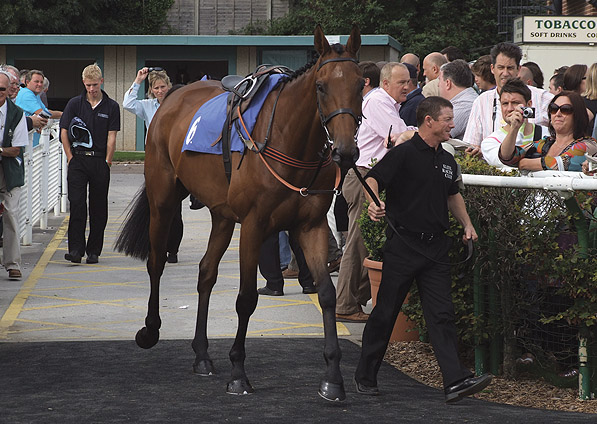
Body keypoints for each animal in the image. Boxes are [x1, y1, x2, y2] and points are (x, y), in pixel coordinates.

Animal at [114, 24, 360, 402]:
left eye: (360, 84)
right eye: (321, 86)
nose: (346, 152)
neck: (288, 141)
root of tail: (172, 96)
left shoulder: (311, 226)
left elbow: (327, 294)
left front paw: (333, 377)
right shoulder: (255, 226)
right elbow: (246, 299)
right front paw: (238, 373)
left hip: (222, 215)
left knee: (206, 273)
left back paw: (202, 354)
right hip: (163, 198)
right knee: (156, 262)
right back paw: (150, 330)